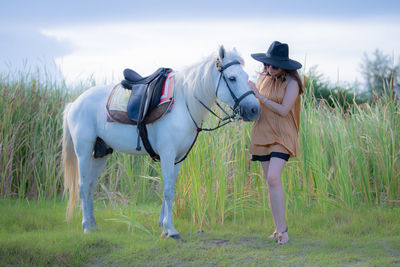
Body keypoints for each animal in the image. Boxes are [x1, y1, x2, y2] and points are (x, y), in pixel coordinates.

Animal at [61, 46, 262, 239]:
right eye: (232, 78)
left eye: (246, 77)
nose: (254, 110)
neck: (184, 103)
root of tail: (75, 103)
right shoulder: (167, 154)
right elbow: (168, 190)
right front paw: (171, 230)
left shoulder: (178, 157)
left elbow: (169, 187)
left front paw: (163, 227)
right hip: (83, 151)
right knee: (82, 185)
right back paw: (86, 227)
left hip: (100, 152)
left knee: (90, 185)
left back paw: (94, 224)